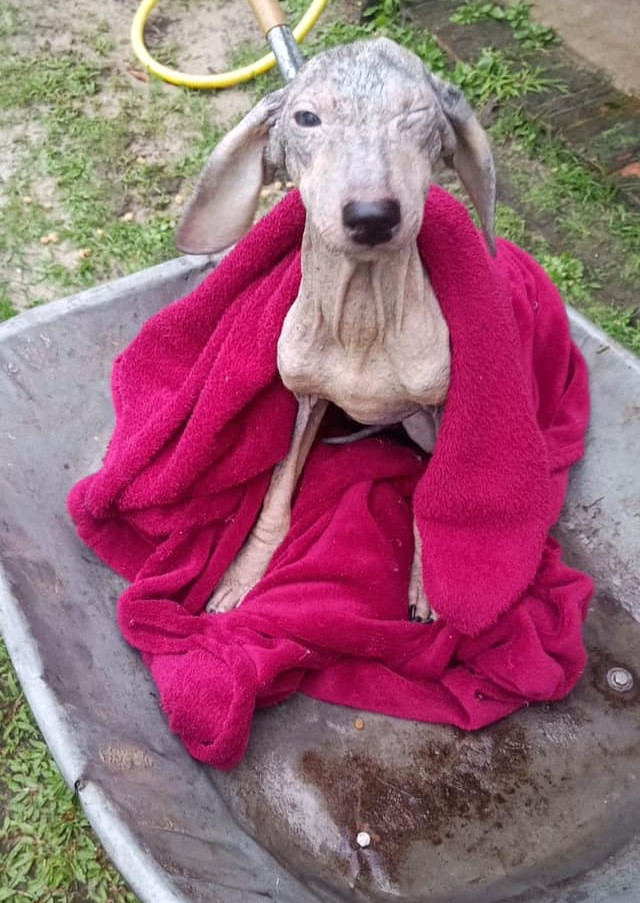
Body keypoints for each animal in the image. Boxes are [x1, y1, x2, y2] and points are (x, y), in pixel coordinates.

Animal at [175, 37, 496, 621]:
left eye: (417, 114)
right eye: (307, 118)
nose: (372, 215)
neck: (361, 321)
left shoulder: (441, 409)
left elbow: (434, 494)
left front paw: (425, 582)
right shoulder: (306, 401)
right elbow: (278, 488)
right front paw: (242, 574)